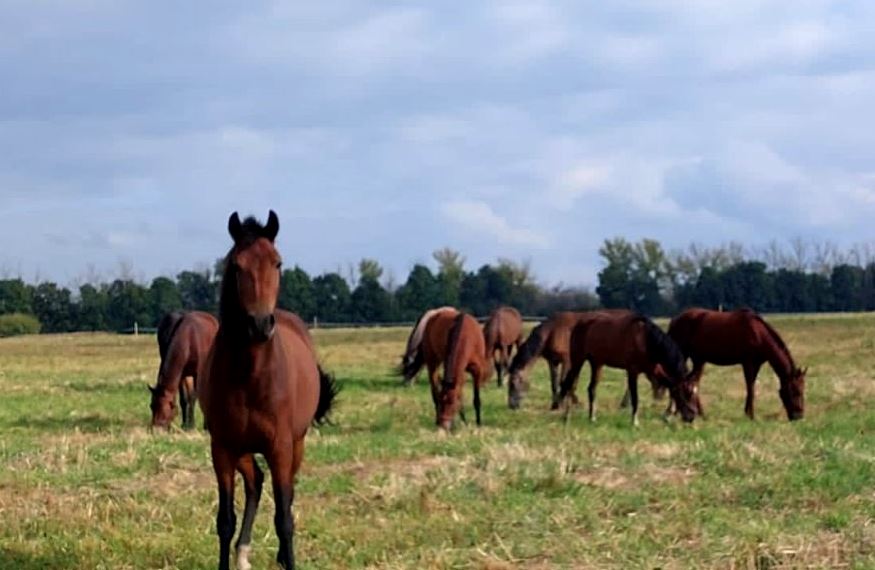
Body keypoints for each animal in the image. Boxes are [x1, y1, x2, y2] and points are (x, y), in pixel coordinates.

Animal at [199, 212, 338, 568]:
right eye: (237, 266)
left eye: (277, 263)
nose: (260, 324)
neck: (250, 377)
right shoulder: (223, 449)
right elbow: (225, 521)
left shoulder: (280, 448)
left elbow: (284, 519)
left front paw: (288, 559)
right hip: (243, 450)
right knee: (256, 483)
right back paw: (243, 553)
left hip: (296, 445)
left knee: (285, 494)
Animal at [556, 310, 700, 426]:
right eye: (686, 393)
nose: (691, 417)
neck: (646, 340)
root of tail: (579, 324)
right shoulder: (633, 371)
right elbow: (635, 397)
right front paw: (635, 422)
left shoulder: (653, 369)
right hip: (578, 360)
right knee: (570, 384)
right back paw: (566, 417)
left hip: (597, 363)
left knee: (591, 389)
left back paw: (592, 418)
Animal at [672, 306, 808, 422]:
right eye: (795, 391)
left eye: (802, 390)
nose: (799, 416)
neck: (758, 334)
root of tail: (675, 320)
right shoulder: (748, 363)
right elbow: (750, 388)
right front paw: (751, 415)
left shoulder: (756, 364)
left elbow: (751, 387)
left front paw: (747, 413)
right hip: (686, 356)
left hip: (699, 360)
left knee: (693, 382)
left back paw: (699, 414)